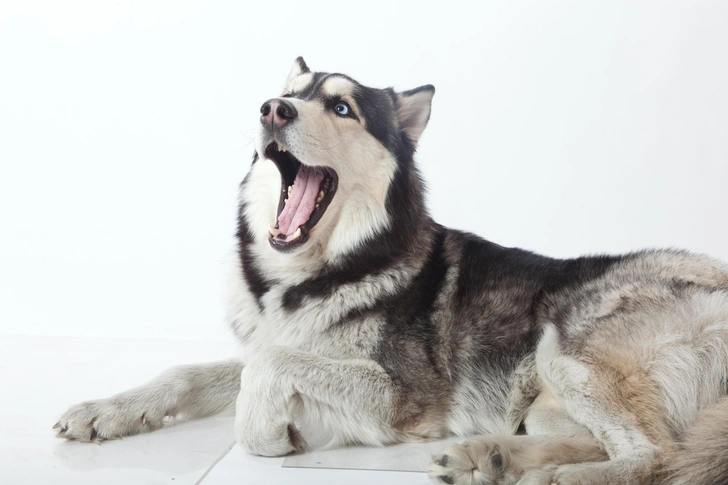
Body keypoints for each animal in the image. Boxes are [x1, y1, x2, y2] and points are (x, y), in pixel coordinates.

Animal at [54, 57, 728, 484]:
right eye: (289, 92)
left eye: (341, 106)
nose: (272, 109)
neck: (314, 275)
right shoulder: (273, 341)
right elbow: (193, 370)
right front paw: (108, 410)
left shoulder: (403, 395)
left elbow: (266, 372)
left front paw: (272, 435)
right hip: (546, 396)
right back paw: (489, 458)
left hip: (565, 345)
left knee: (659, 456)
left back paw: (555, 478)